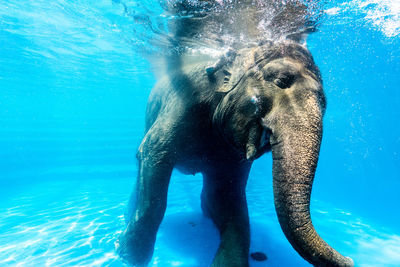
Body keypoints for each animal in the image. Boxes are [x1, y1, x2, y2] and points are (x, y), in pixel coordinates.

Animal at [115, 39, 354, 267]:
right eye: (281, 81)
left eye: (324, 103)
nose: (350, 260)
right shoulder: (183, 105)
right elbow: (156, 156)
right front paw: (130, 258)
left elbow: (226, 196)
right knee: (142, 159)